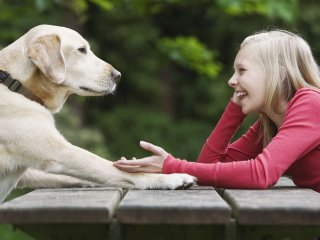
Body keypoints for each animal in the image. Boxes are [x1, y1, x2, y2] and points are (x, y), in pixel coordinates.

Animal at [0, 24, 195, 202]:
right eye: (82, 50)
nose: (118, 75)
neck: (17, 84)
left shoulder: (29, 172)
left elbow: (75, 176)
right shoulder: (59, 153)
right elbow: (114, 169)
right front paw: (171, 178)